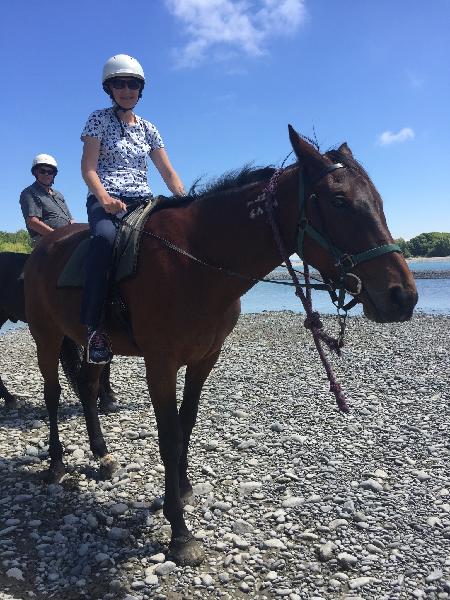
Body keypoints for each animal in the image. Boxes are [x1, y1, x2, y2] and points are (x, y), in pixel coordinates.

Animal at [23, 127, 418, 568]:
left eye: (378, 201)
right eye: (338, 201)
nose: (403, 297)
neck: (194, 260)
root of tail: (42, 249)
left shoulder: (204, 359)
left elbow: (187, 424)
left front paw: (182, 488)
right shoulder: (161, 364)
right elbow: (169, 435)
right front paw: (180, 531)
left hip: (92, 344)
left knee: (89, 390)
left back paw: (102, 454)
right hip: (46, 336)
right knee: (53, 394)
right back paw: (56, 463)